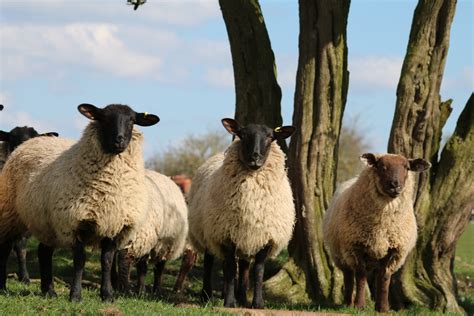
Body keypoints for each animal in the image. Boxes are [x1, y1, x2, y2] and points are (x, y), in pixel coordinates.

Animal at [0, 103, 159, 302]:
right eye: (103, 118)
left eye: (132, 120)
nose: (119, 140)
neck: (111, 189)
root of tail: (27, 144)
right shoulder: (76, 222)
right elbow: (80, 260)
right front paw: (75, 295)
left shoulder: (113, 225)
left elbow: (107, 261)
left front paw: (107, 295)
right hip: (11, 215)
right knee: (6, 249)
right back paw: (4, 288)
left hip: (47, 222)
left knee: (44, 252)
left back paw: (49, 291)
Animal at [187, 118, 294, 308]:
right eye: (243, 135)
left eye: (271, 137)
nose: (255, 157)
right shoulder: (226, 234)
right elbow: (230, 268)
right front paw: (229, 302)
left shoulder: (264, 236)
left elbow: (258, 270)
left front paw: (257, 303)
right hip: (209, 232)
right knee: (209, 261)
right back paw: (207, 295)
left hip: (246, 235)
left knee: (243, 266)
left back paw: (242, 297)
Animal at [324, 152, 432, 312]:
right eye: (381, 166)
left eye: (406, 167)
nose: (395, 185)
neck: (382, 226)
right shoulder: (356, 247)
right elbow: (360, 277)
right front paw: (359, 306)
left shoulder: (393, 250)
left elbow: (384, 278)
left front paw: (383, 308)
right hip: (342, 255)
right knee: (349, 276)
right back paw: (348, 303)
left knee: (375, 277)